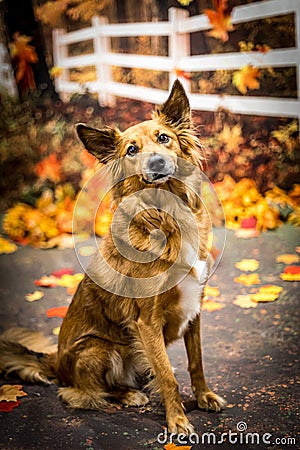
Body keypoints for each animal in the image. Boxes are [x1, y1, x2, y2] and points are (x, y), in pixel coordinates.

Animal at [0, 79, 225, 434]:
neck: (168, 215)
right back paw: (128, 395)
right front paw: (177, 420)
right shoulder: (146, 322)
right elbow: (168, 376)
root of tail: (56, 362)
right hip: (99, 348)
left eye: (164, 138)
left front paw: (204, 396)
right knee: (81, 392)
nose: (156, 163)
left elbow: (196, 362)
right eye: (131, 150)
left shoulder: (195, 309)